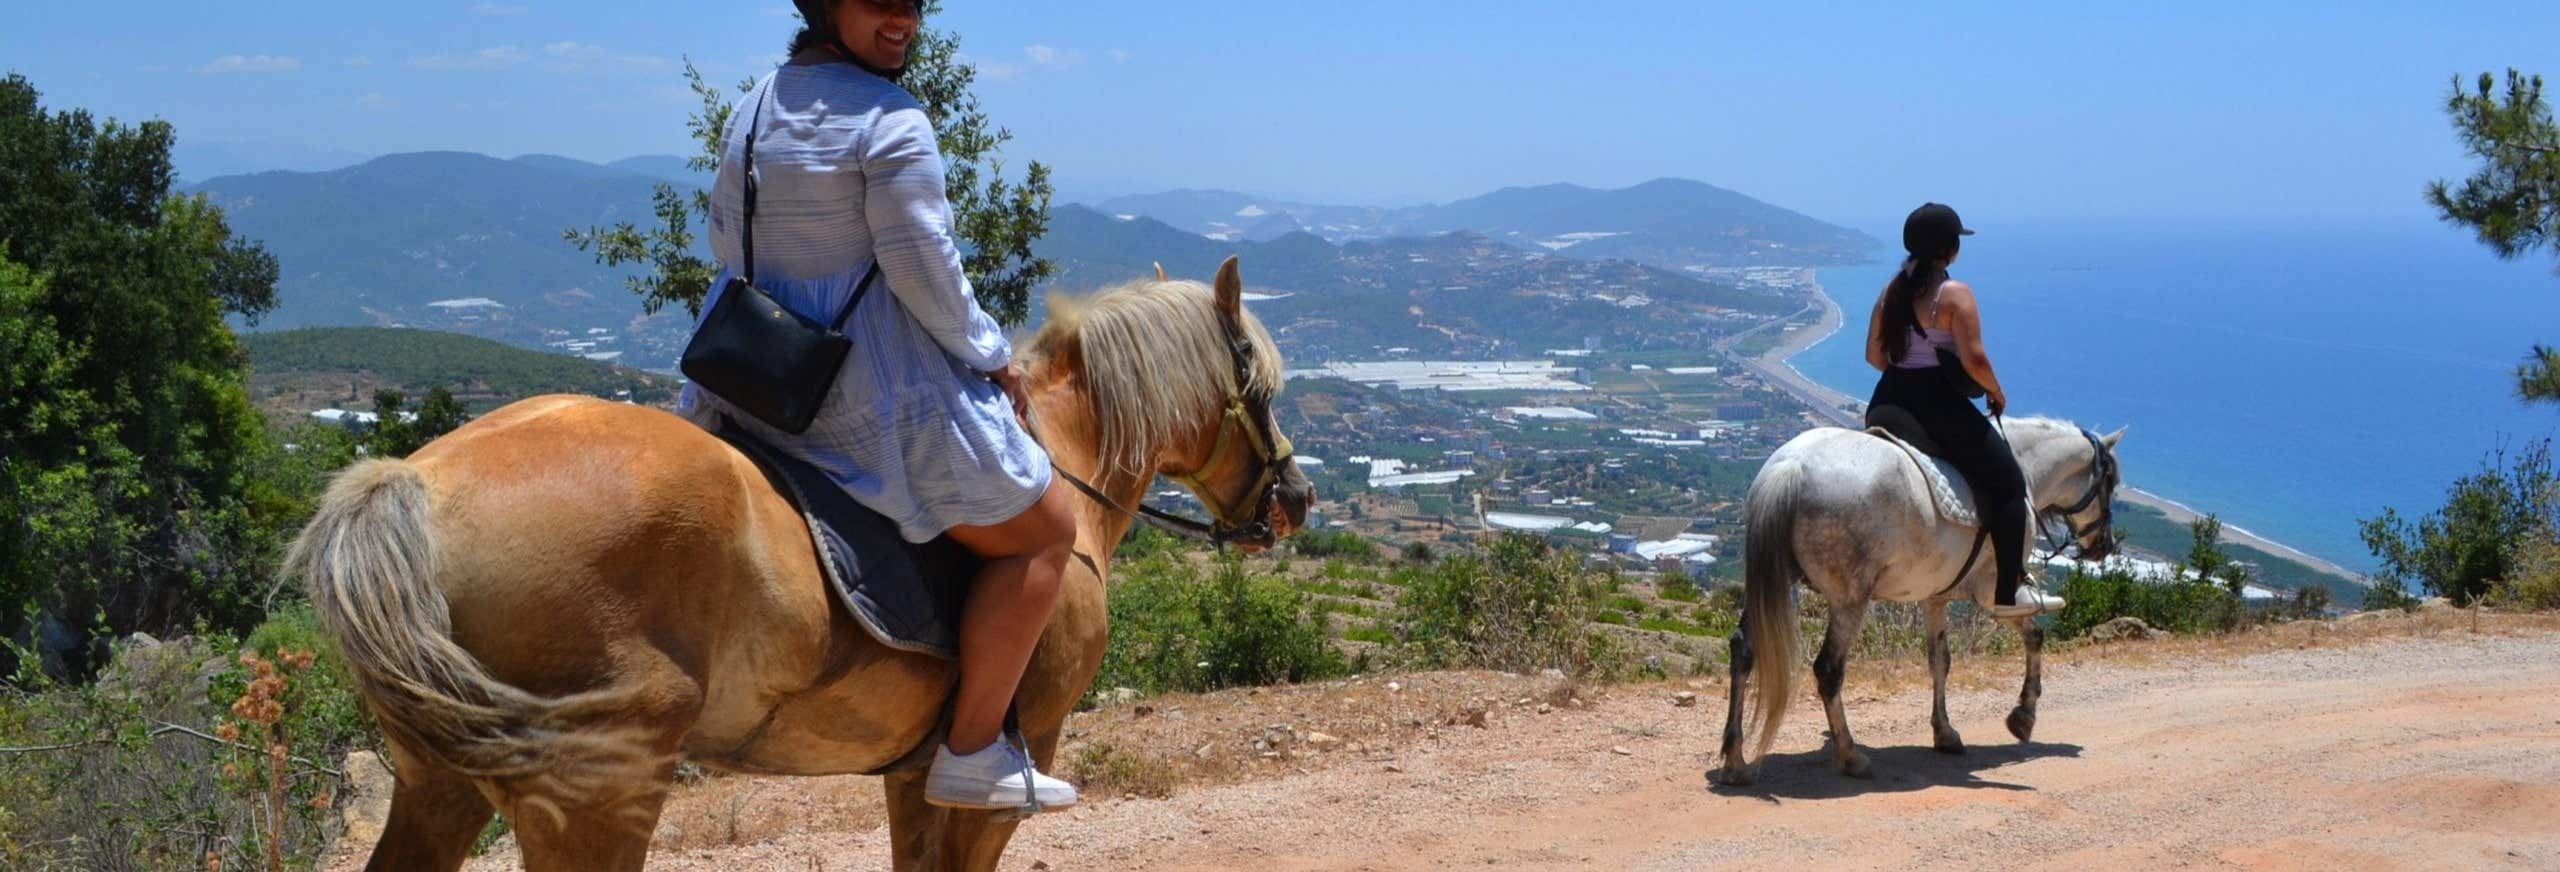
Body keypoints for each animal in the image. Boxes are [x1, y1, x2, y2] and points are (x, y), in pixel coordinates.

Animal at [288, 256, 1312, 871]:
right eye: (1258, 386)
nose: (1295, 501)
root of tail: (413, 480)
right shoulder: (1021, 756)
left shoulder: (915, 772)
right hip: (595, 793)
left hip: (440, 784)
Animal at [1714, 416, 2122, 785]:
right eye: (2111, 482)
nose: (2103, 546)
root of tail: (1790, 467)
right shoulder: (1994, 595)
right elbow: (2035, 636)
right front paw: (2023, 716)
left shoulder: (1935, 599)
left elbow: (1940, 661)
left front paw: (1945, 733)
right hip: (1849, 600)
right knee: (1828, 670)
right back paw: (1850, 757)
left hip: (1773, 582)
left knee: (1743, 652)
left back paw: (1735, 761)